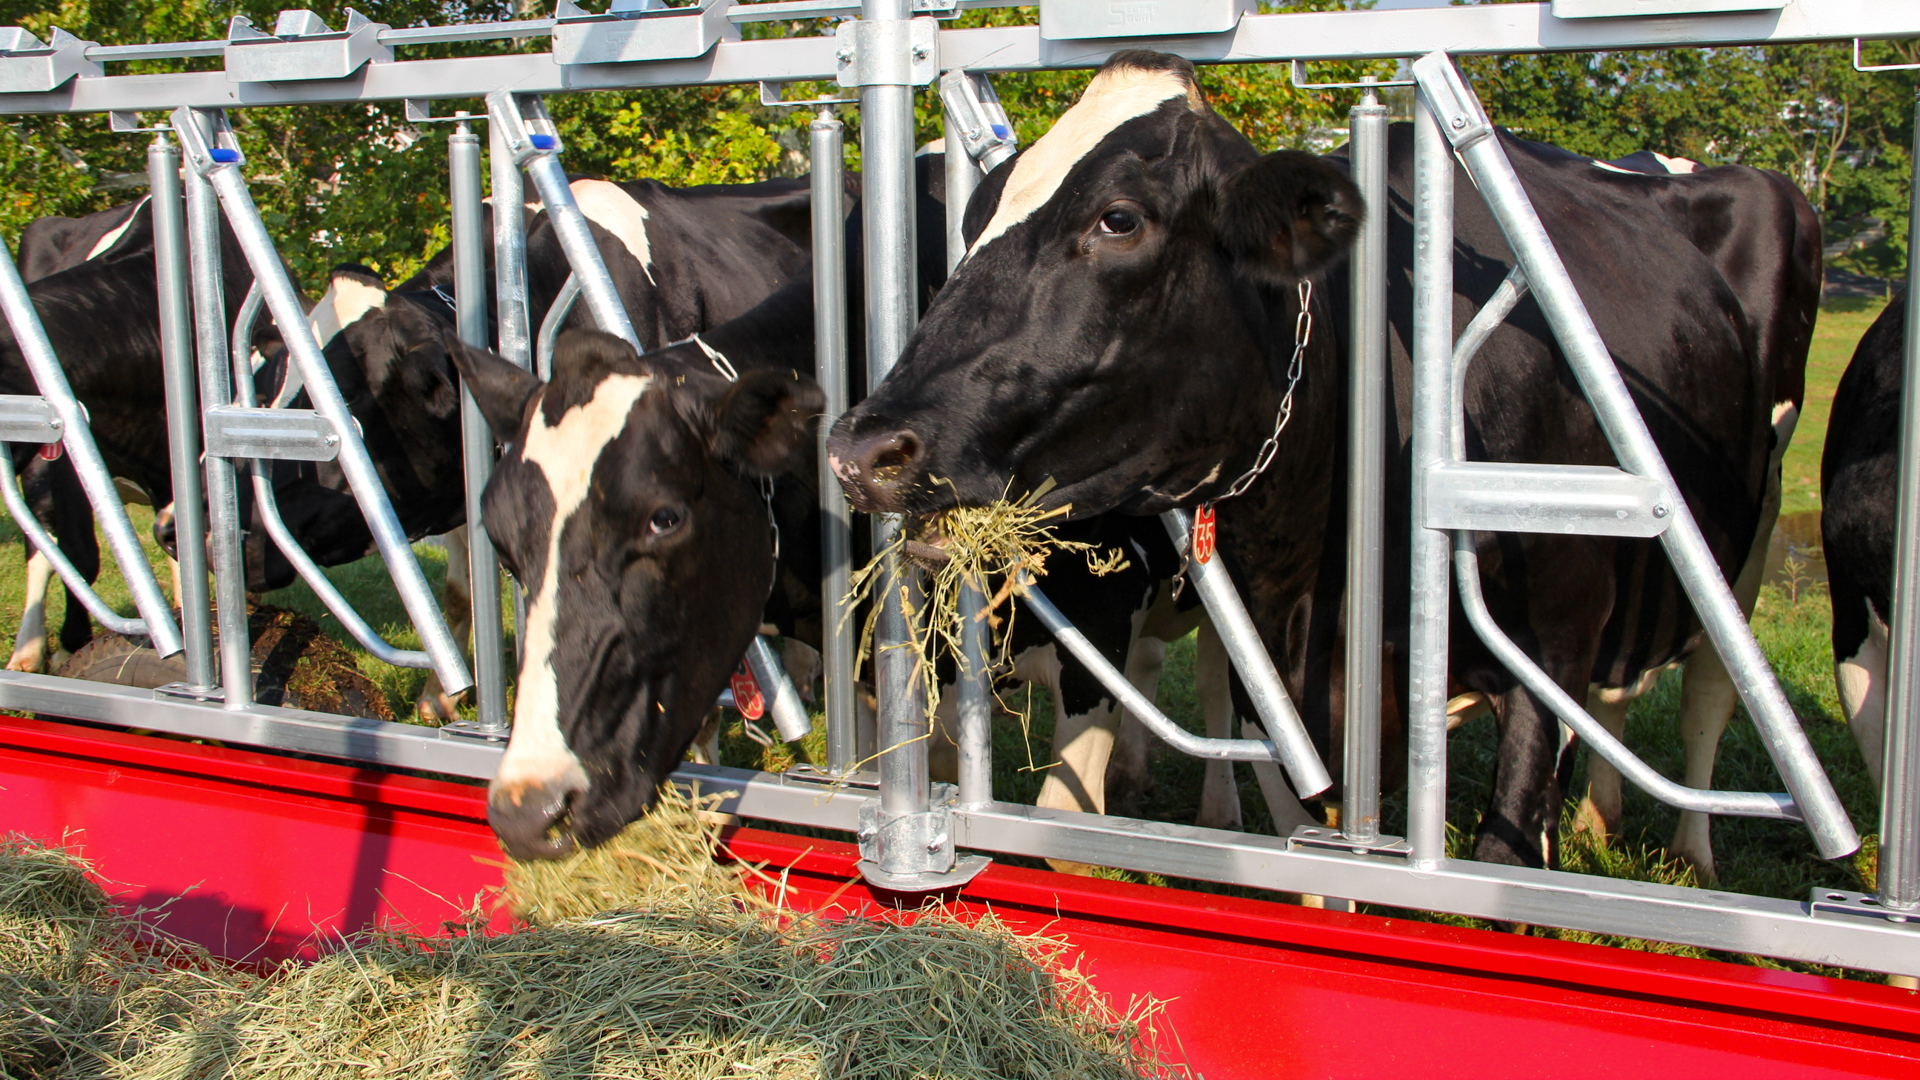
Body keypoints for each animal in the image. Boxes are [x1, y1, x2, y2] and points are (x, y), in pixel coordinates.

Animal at [825, 54, 1812, 868]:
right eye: (974, 220)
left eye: (1119, 218)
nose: (864, 447)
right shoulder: (1286, 692)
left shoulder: (1552, 659)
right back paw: (1604, 823)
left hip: (1751, 531)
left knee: (1712, 691)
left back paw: (1693, 856)